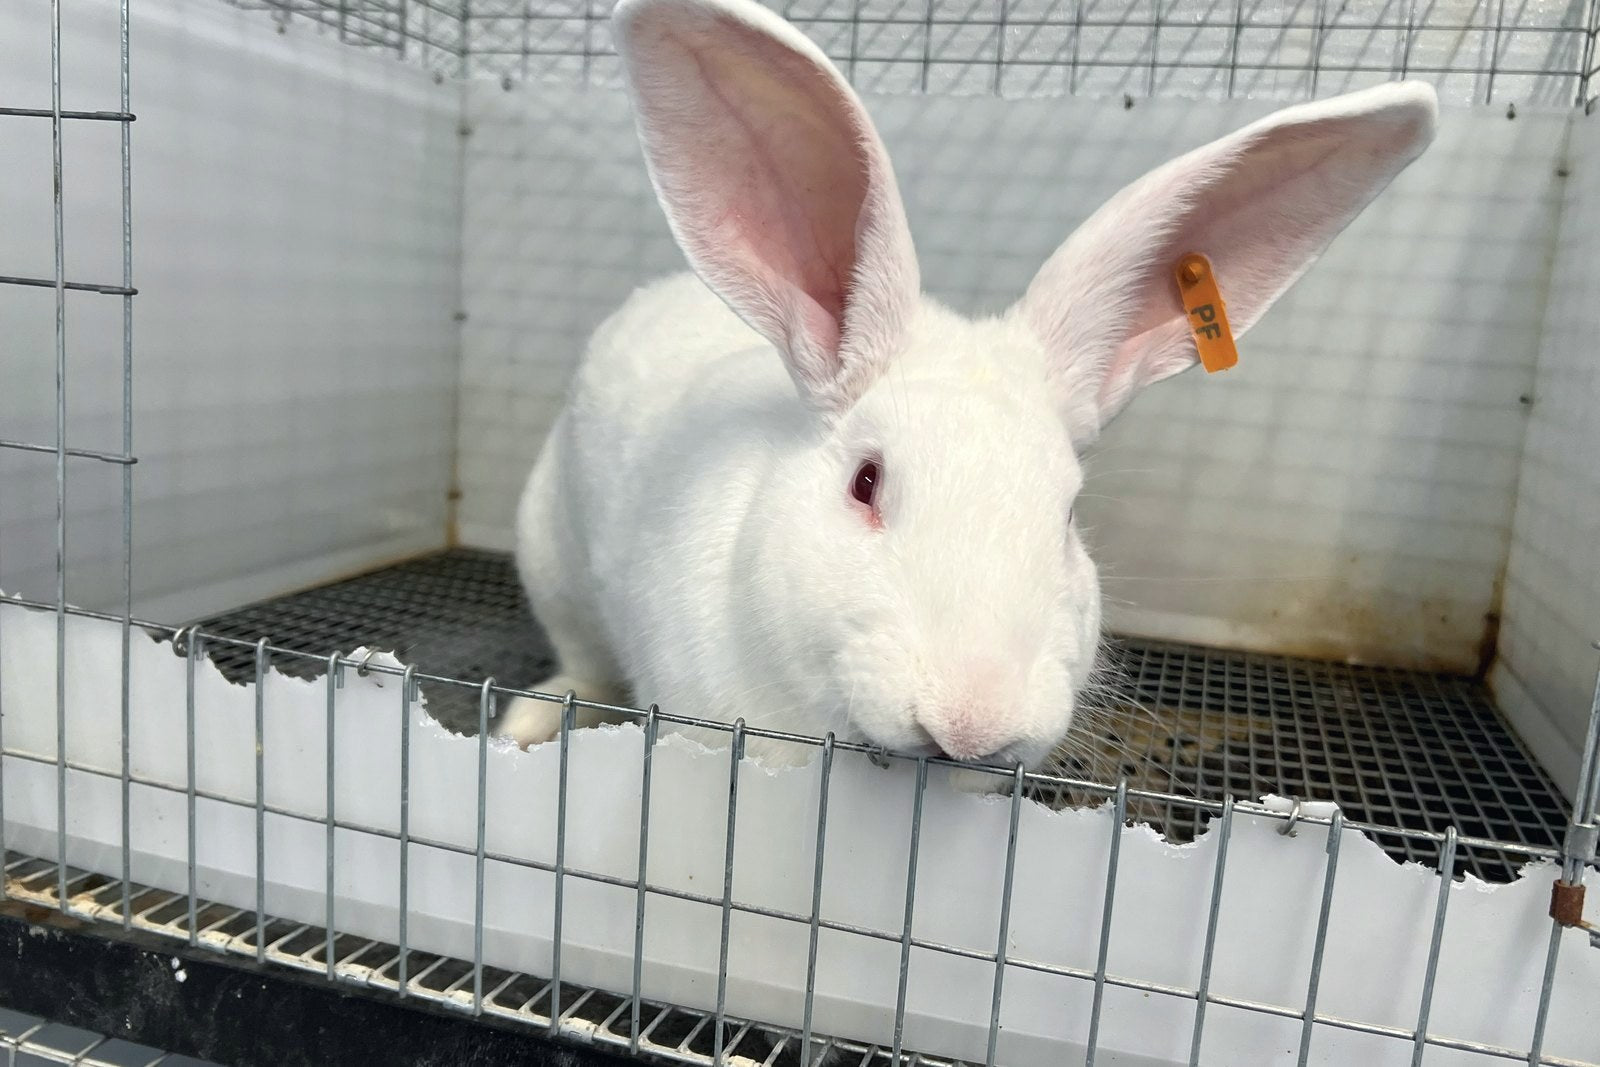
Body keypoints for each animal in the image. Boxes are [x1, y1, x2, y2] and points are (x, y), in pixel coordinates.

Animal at [495, 0, 1438, 772]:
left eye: (1068, 515)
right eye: (865, 482)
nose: (972, 722)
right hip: (550, 559)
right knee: (578, 661)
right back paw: (526, 724)